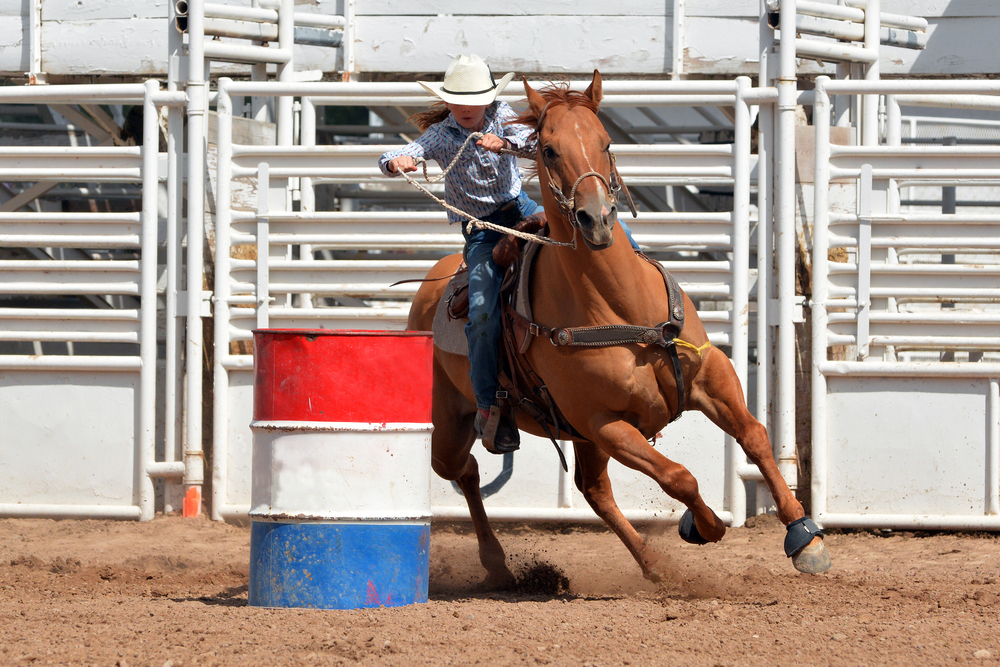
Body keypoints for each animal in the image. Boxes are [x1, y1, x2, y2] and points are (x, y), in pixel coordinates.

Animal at [402, 70, 832, 588]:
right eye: (549, 150)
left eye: (606, 142)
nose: (597, 219)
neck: (620, 305)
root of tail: (432, 286)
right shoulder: (604, 423)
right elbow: (678, 476)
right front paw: (704, 525)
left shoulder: (710, 374)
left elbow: (754, 435)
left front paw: (804, 536)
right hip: (453, 422)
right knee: (464, 469)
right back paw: (499, 562)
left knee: (591, 489)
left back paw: (653, 564)